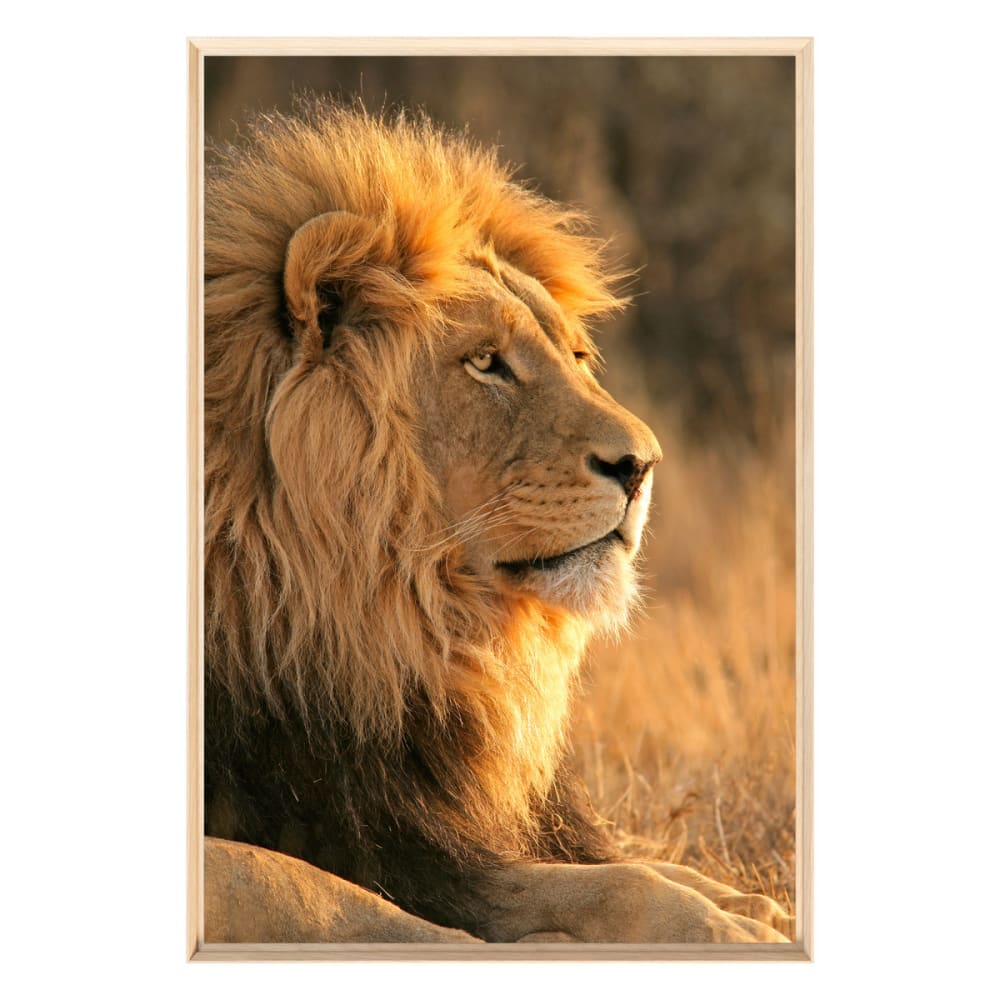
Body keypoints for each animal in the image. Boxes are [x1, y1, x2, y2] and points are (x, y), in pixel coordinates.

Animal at [202, 102, 792, 945]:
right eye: (486, 363)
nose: (643, 465)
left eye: (577, 356)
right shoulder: (376, 836)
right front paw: (725, 928)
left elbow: (622, 863)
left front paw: (742, 902)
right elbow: (329, 892)